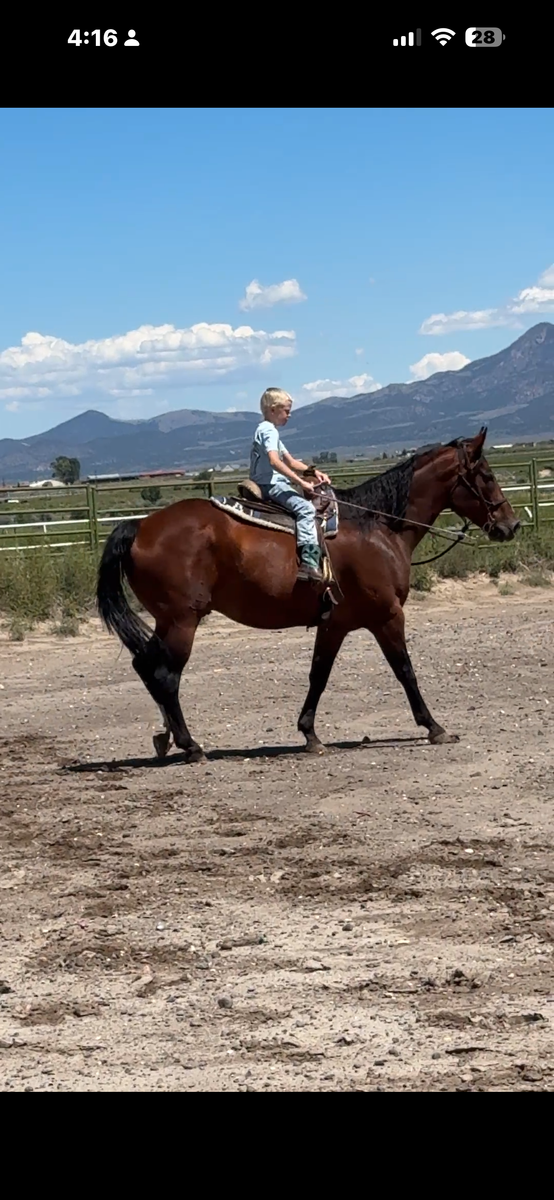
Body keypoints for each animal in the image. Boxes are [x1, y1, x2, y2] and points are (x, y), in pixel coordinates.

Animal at [96, 426, 519, 763]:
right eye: (485, 474)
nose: (510, 525)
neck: (376, 527)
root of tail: (139, 526)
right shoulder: (387, 616)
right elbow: (405, 671)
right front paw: (434, 726)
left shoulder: (335, 624)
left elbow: (319, 674)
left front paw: (310, 734)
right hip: (183, 620)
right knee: (165, 675)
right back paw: (191, 745)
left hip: (167, 620)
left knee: (146, 666)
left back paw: (166, 737)